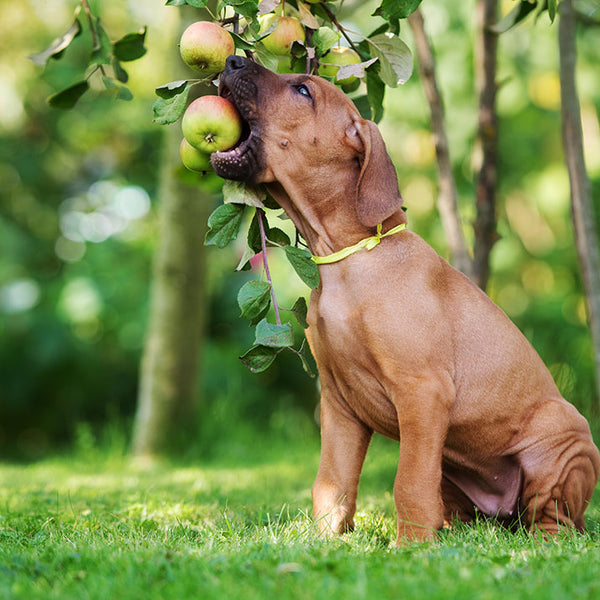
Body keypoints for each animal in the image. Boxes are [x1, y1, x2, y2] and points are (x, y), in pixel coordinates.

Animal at [213, 56, 596, 544]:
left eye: (303, 90)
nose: (232, 60)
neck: (349, 259)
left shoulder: (423, 392)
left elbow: (408, 481)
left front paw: (410, 546)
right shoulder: (338, 404)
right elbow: (332, 481)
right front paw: (322, 540)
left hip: (562, 440)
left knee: (555, 518)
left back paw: (540, 540)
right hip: (455, 468)